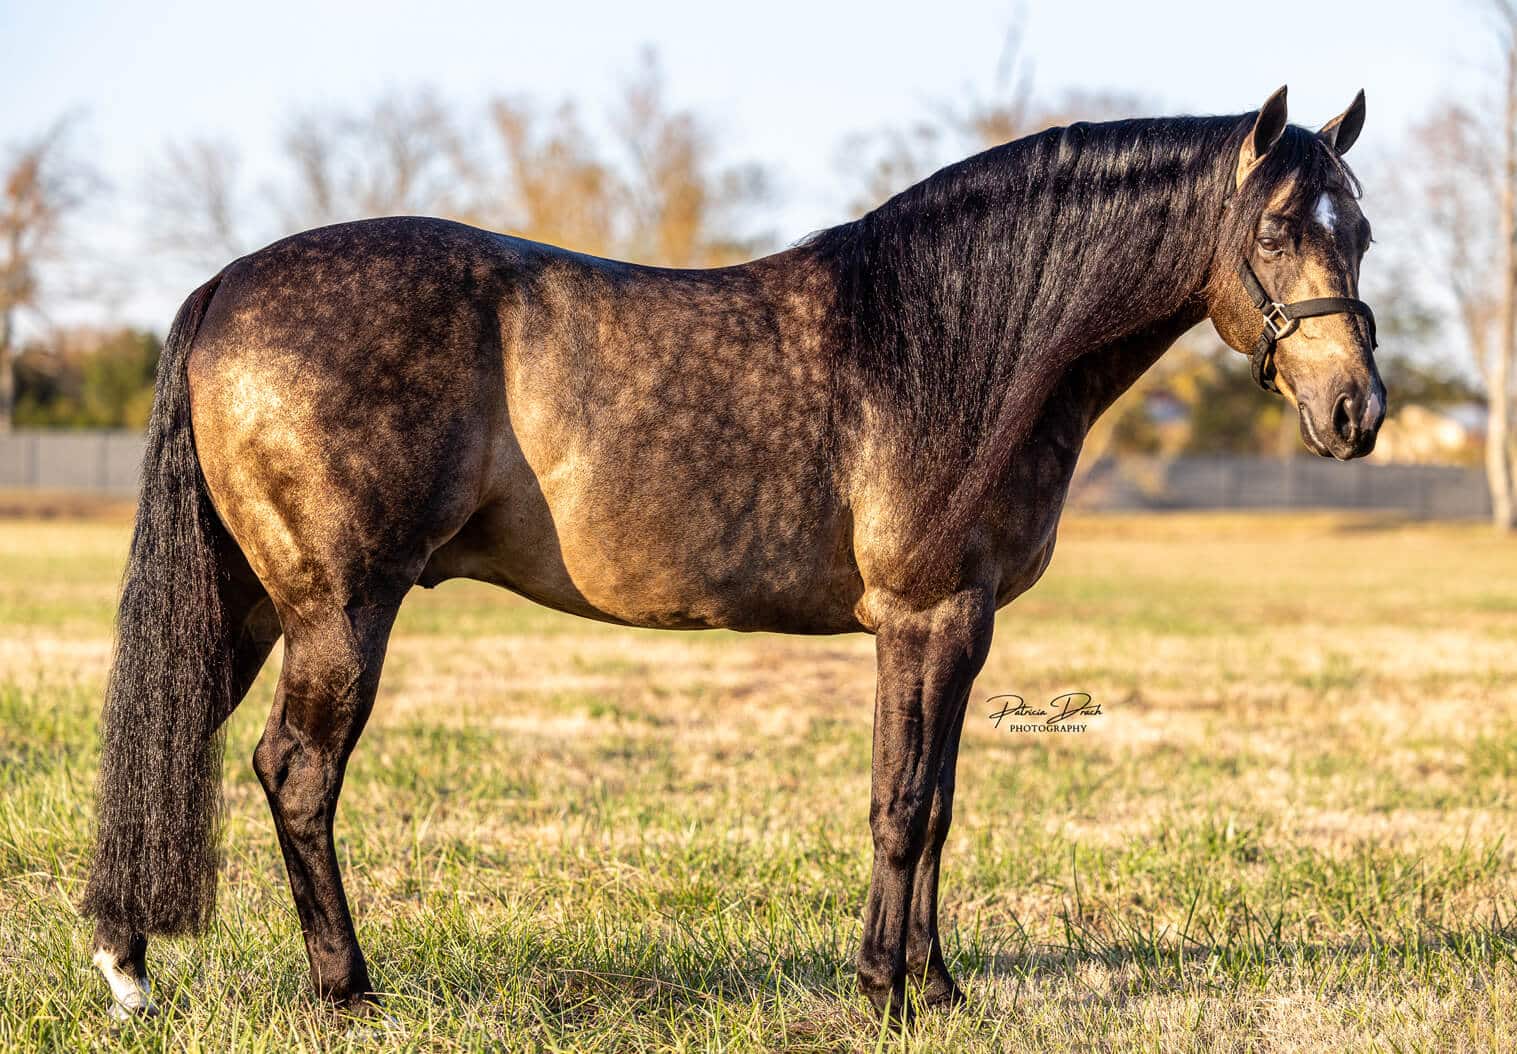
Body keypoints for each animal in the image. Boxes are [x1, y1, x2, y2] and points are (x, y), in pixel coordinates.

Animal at [82, 85, 1381, 1022]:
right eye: (1276, 227)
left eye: (1359, 230)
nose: (1355, 410)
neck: (953, 343)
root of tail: (224, 285)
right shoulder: (923, 616)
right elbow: (899, 803)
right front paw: (884, 992)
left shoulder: (962, 625)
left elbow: (938, 805)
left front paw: (940, 986)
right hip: (339, 606)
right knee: (296, 773)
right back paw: (347, 992)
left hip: (250, 602)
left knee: (173, 735)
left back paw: (128, 965)